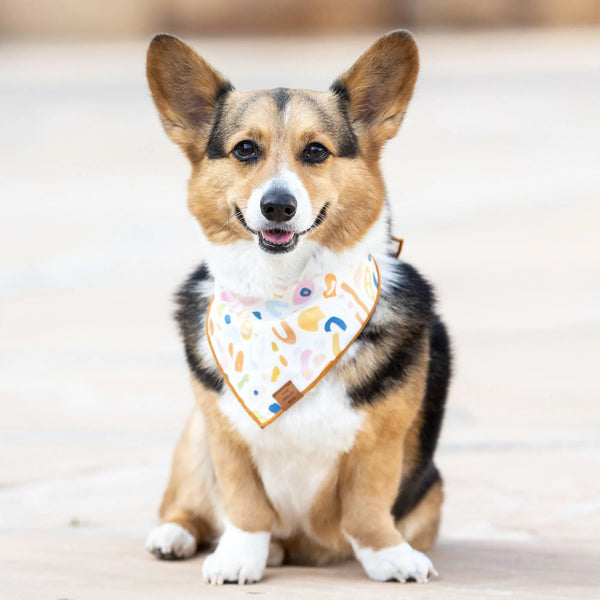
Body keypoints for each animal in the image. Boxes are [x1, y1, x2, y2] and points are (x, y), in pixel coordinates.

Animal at [143, 30, 448, 584]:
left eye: (316, 151)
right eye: (245, 149)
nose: (278, 206)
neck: (284, 302)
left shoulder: (381, 442)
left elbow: (368, 506)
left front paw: (388, 554)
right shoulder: (224, 434)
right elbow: (243, 505)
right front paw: (240, 557)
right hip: (195, 435)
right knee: (185, 505)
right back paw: (175, 535)